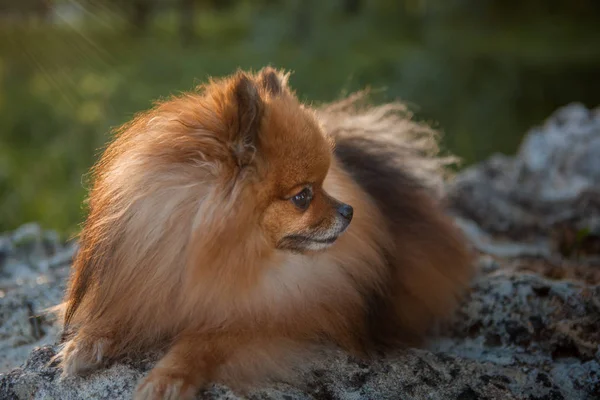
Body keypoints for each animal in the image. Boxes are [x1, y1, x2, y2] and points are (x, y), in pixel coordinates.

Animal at [57, 67, 478, 398]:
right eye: (303, 196)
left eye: (324, 184)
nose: (349, 211)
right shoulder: (150, 273)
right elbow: (120, 313)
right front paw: (86, 343)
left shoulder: (268, 320)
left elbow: (204, 342)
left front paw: (168, 377)